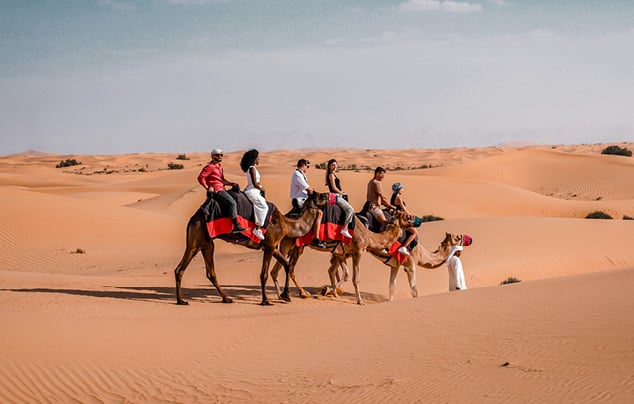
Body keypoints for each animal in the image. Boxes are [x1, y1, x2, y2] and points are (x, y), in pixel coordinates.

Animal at [174, 191, 330, 304]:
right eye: (319, 195)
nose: (328, 195)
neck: (286, 225)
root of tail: (193, 217)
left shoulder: (273, 246)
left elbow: (287, 265)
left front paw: (286, 296)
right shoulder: (269, 245)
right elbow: (264, 274)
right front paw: (266, 300)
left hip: (206, 243)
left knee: (208, 272)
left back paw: (226, 298)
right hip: (196, 240)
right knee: (181, 269)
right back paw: (181, 300)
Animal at [268, 210, 412, 304]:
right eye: (405, 217)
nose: (413, 219)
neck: (368, 236)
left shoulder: (342, 253)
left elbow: (343, 274)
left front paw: (332, 292)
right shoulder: (358, 251)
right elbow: (355, 278)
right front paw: (359, 301)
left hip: (289, 246)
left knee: (276, 270)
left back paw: (280, 296)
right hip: (295, 245)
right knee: (290, 268)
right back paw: (302, 293)